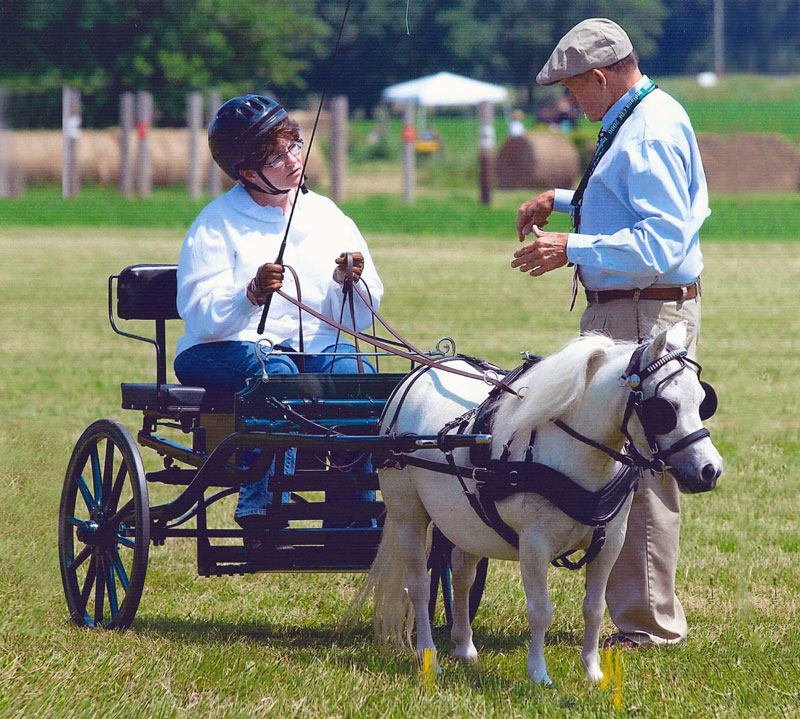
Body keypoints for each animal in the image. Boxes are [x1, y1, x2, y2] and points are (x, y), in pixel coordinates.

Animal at [368, 324, 724, 684]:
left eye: (703, 400)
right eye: (665, 408)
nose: (710, 470)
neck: (573, 452)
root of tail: (423, 372)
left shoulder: (612, 541)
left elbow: (594, 608)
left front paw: (593, 671)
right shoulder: (534, 545)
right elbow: (540, 611)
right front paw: (539, 674)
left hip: (466, 524)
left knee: (462, 577)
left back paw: (465, 648)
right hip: (408, 516)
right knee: (418, 586)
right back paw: (429, 657)